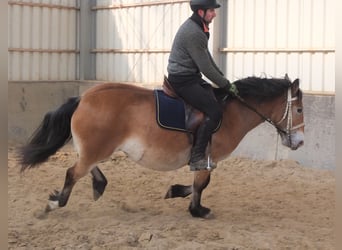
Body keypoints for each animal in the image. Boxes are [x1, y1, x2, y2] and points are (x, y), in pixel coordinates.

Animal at [18, 75, 304, 218]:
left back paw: (98, 185)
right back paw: (55, 204)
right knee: (73, 172)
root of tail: (84, 97)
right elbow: (201, 184)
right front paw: (197, 210)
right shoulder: (206, 158)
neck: (230, 112)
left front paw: (175, 191)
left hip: (96, 148)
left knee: (86, 167)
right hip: (97, 148)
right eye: (300, 109)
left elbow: (198, 185)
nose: (299, 142)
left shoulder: (205, 161)